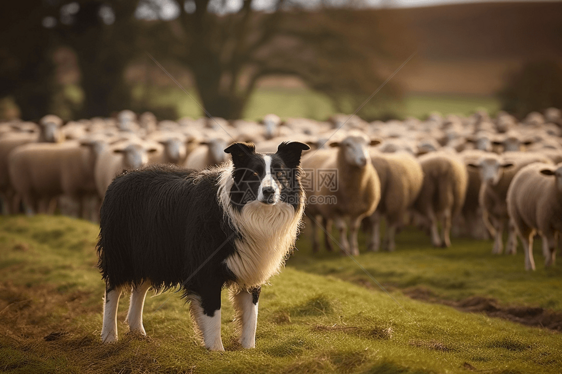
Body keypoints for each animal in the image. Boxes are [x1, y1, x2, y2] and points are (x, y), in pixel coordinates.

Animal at [96, 140, 306, 350]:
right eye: (254, 174)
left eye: (280, 174)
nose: (269, 192)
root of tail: (122, 176)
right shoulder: (206, 271)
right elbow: (213, 314)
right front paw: (216, 351)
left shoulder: (252, 268)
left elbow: (251, 316)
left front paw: (248, 350)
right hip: (120, 253)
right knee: (112, 291)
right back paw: (109, 336)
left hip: (153, 253)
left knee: (139, 288)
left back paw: (137, 332)